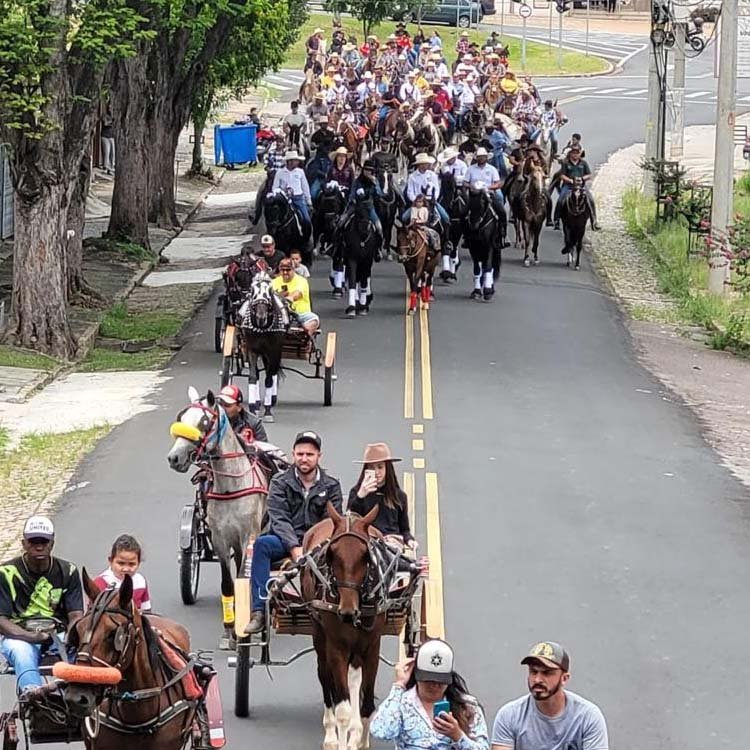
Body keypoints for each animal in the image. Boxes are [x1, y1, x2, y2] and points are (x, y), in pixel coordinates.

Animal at [169, 384, 274, 648]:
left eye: (204, 421)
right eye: (181, 418)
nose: (174, 458)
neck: (231, 487)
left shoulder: (249, 536)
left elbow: (244, 577)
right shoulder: (220, 538)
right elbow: (228, 583)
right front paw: (229, 630)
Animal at [302, 506, 382, 750]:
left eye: (366, 556)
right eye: (332, 554)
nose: (347, 611)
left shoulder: (371, 646)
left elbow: (366, 705)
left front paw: (360, 740)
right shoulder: (337, 647)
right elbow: (343, 709)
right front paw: (341, 738)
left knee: (354, 678)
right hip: (319, 634)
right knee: (324, 675)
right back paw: (330, 734)